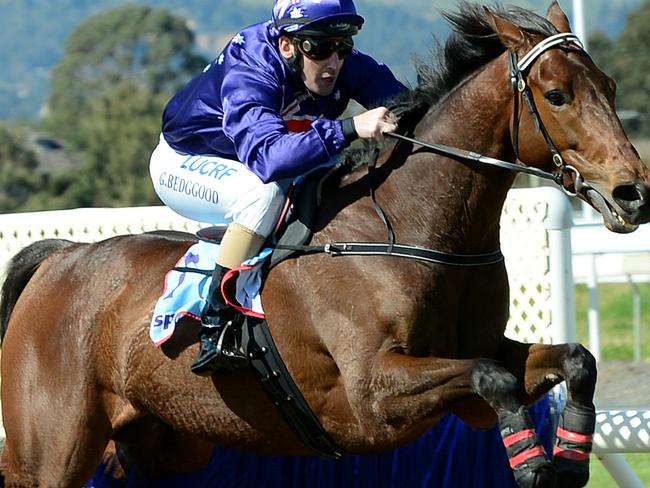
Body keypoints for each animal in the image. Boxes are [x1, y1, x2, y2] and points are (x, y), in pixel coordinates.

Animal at [1, 1, 648, 486]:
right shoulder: (371, 397)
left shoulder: (481, 357)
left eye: (611, 85)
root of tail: (59, 257)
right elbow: (493, 378)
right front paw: (535, 463)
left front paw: (570, 457)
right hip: (51, 452)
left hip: (164, 444)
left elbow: (572, 359)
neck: (409, 229)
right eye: (557, 94)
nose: (634, 192)